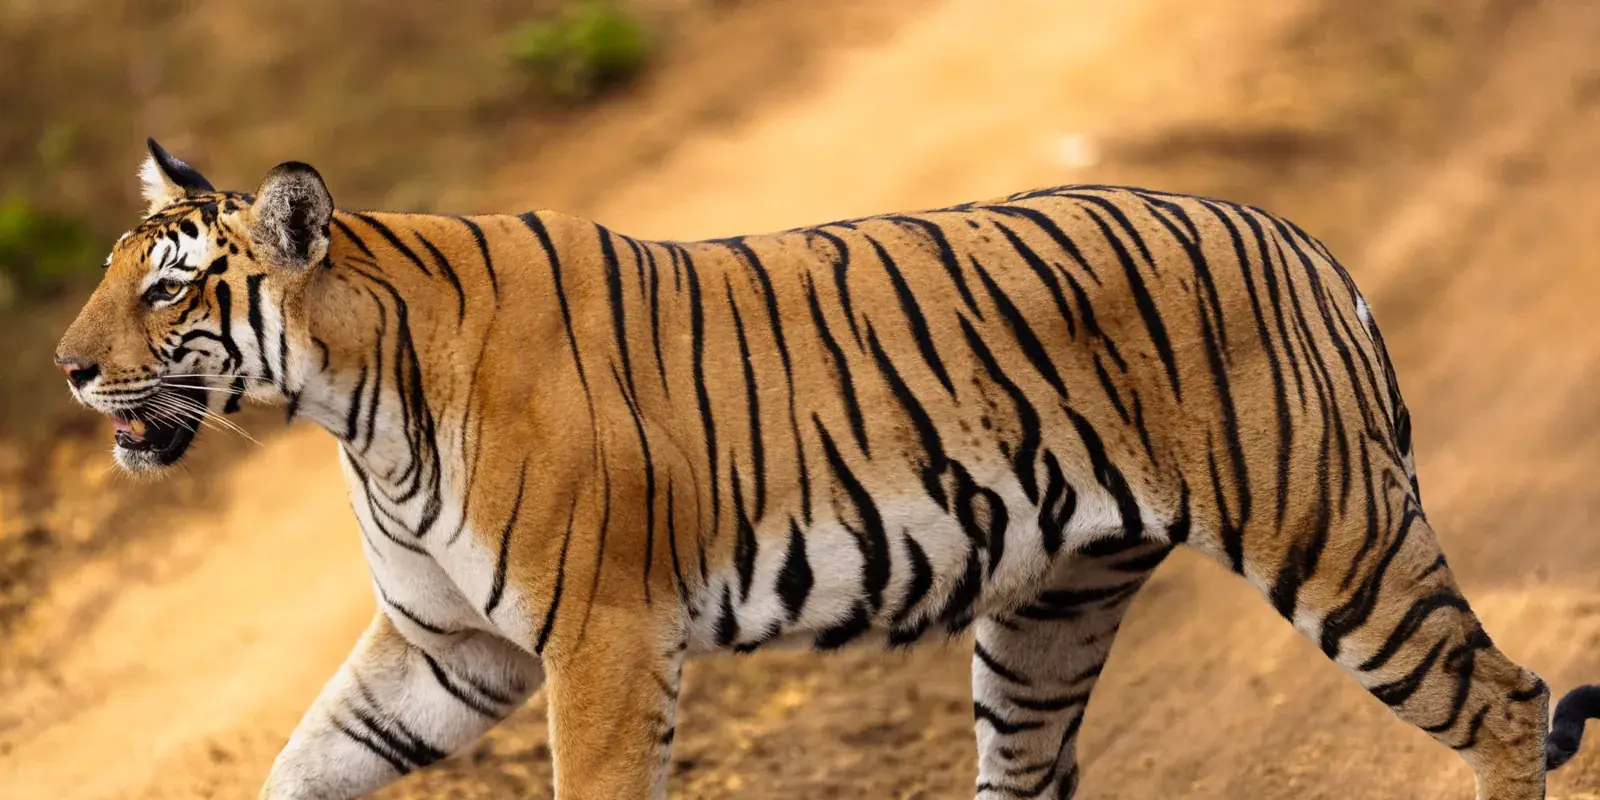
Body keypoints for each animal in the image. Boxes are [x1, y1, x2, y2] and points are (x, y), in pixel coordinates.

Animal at [55, 139, 1600, 800]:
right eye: (109, 277)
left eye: (166, 291)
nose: (66, 373)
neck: (352, 409)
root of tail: (1296, 236)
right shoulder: (445, 649)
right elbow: (304, 764)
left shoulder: (600, 639)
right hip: (1049, 612)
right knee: (1029, 773)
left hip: (1333, 537)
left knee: (1505, 702)